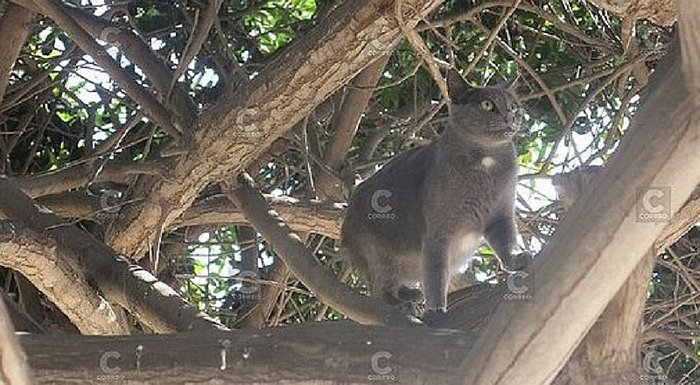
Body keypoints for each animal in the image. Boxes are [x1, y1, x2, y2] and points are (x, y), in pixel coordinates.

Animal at [340, 70, 524, 314]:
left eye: (514, 107)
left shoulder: (501, 216)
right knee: (380, 290)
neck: (487, 162)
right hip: (375, 249)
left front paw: (517, 259)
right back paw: (404, 305)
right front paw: (437, 309)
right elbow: (437, 275)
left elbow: (507, 243)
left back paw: (412, 295)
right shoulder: (438, 233)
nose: (510, 117)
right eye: (487, 104)